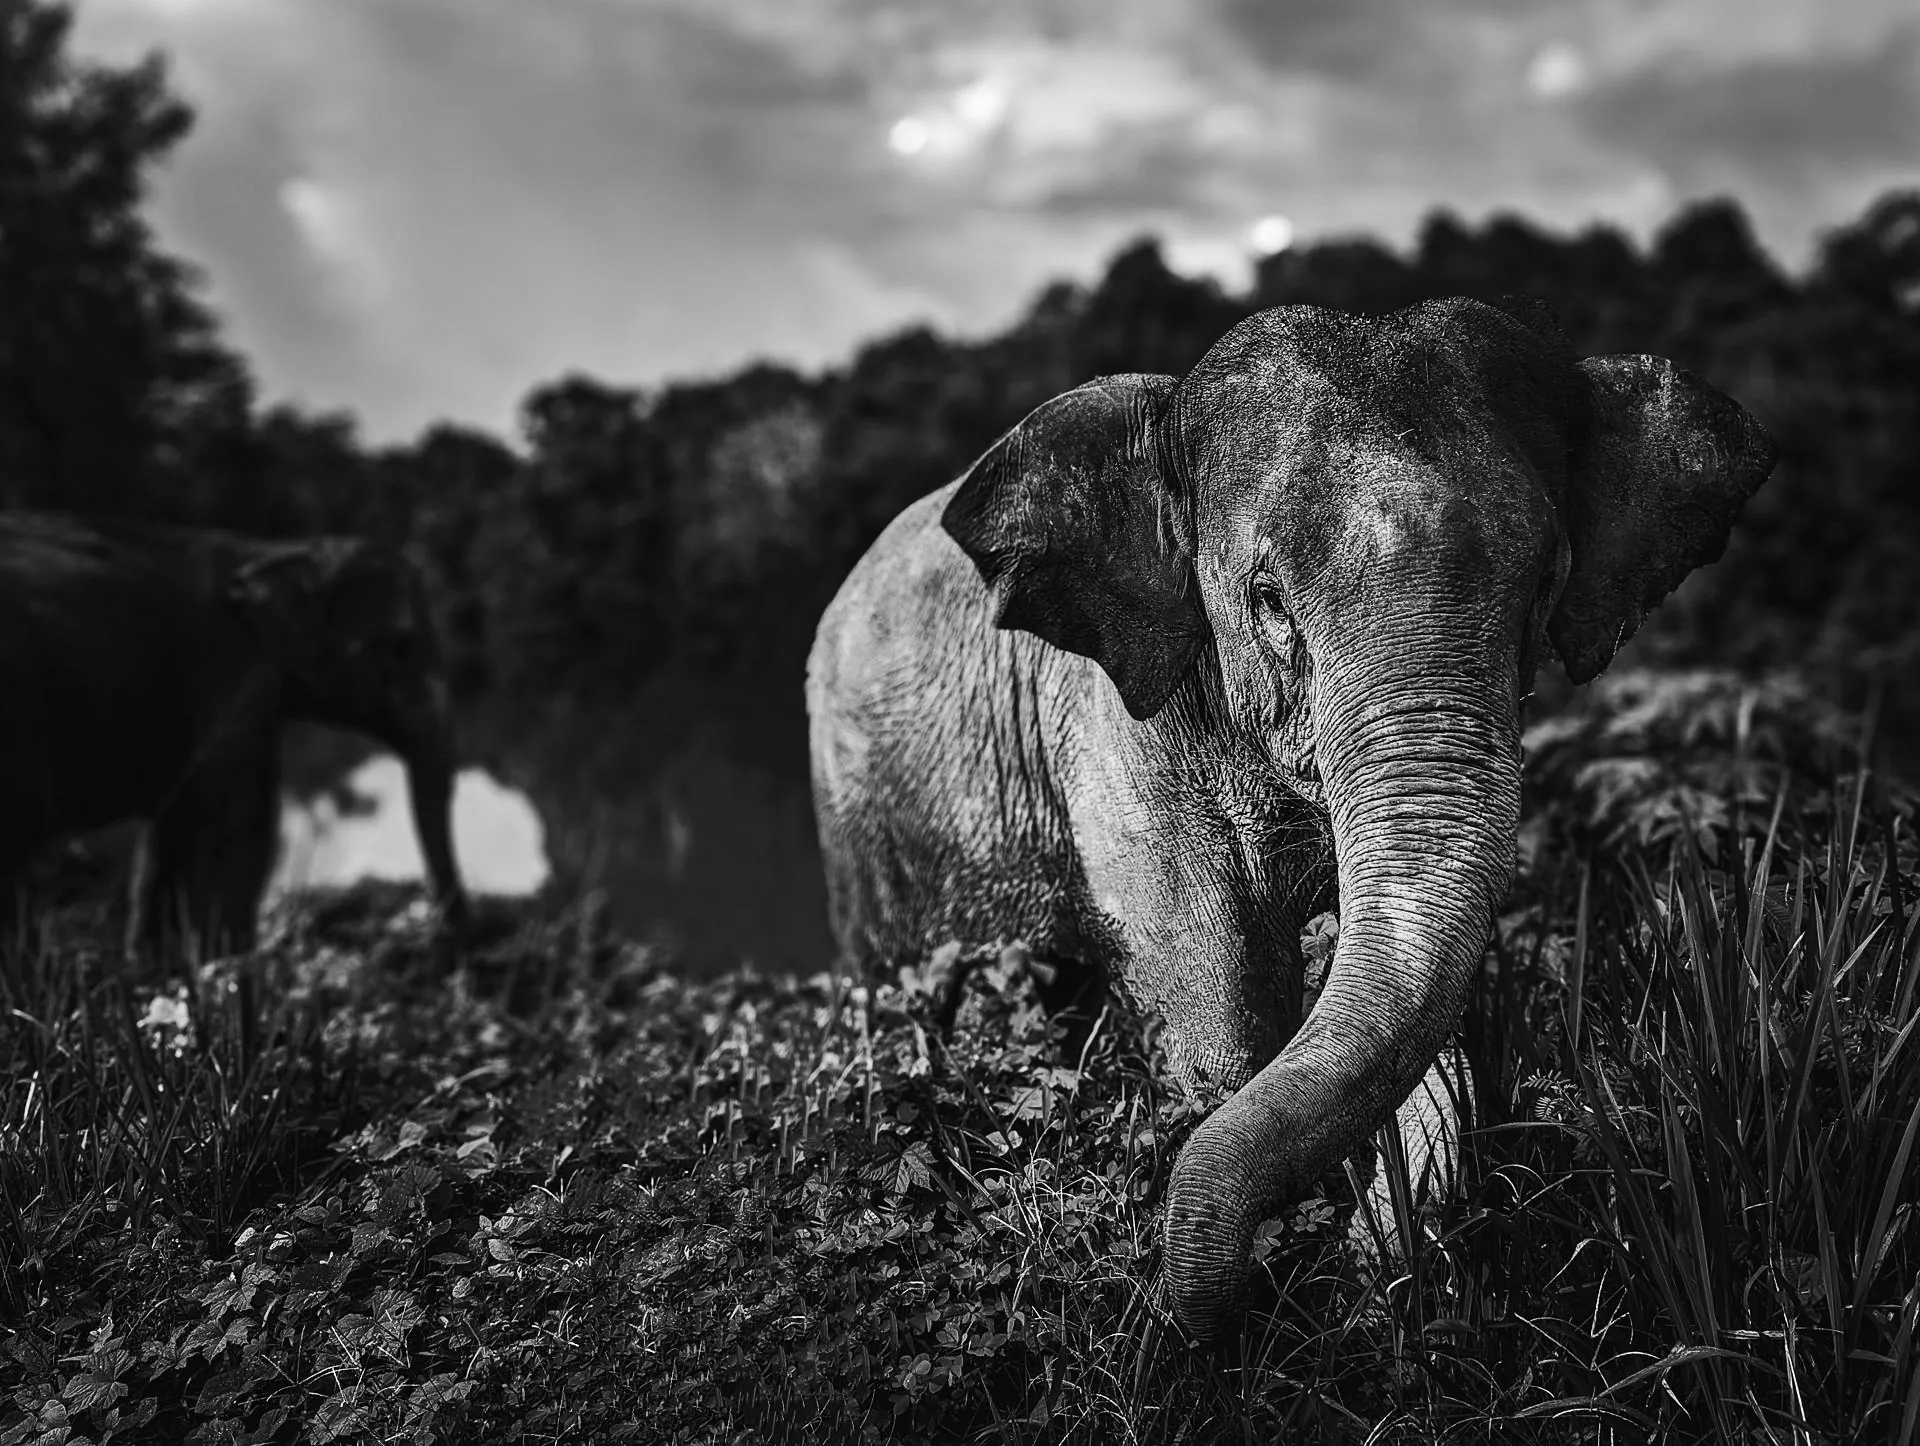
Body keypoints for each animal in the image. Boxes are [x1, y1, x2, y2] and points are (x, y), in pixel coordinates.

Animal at [0, 513, 470, 962]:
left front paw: (158, 969)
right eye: (401, 644)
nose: (443, 951)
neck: (273, 551)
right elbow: (232, 830)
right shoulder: (234, 677)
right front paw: (225, 967)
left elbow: (175, 826)